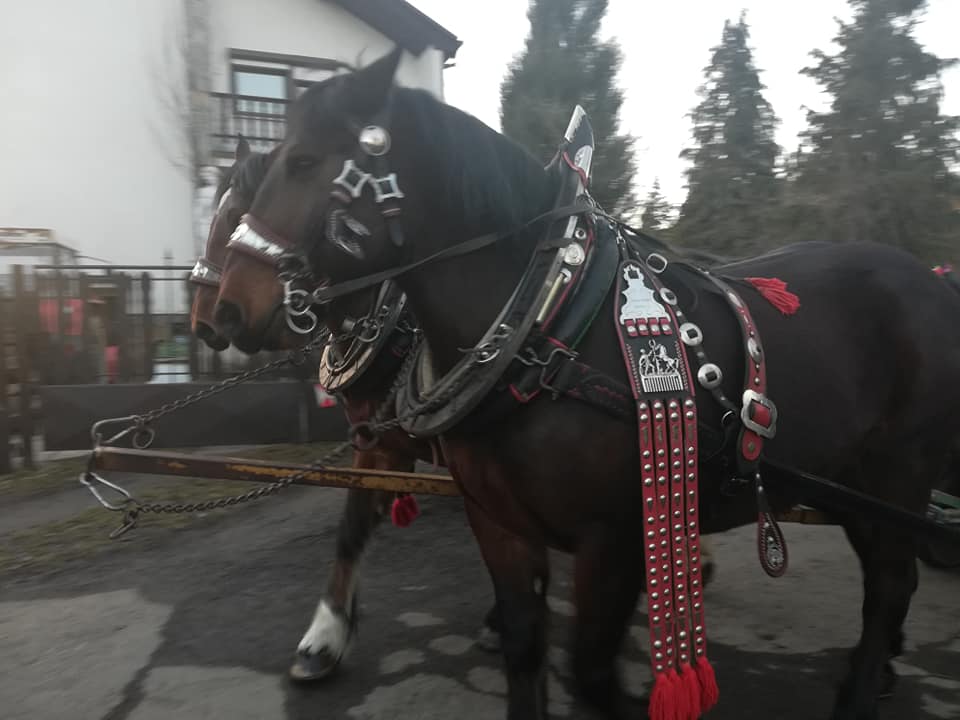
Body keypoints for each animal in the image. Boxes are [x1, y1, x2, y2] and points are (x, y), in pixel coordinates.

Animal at [211, 49, 959, 720]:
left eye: (305, 163)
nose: (225, 312)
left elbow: (593, 670)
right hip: (850, 481)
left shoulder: (615, 537)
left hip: (900, 470)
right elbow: (519, 642)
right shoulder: (491, 517)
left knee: (891, 581)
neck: (544, 327)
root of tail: (930, 279)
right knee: (888, 577)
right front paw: (328, 638)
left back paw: (859, 694)